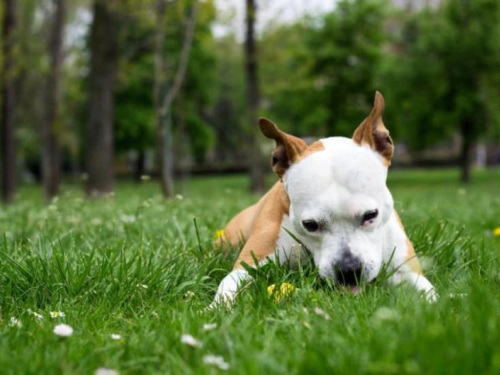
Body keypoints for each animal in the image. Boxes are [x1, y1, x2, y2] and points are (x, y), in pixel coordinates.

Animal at [213, 92, 436, 306]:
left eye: (371, 215)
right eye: (310, 225)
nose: (349, 269)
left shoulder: (407, 271)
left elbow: (430, 296)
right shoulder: (248, 264)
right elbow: (228, 284)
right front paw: (216, 308)